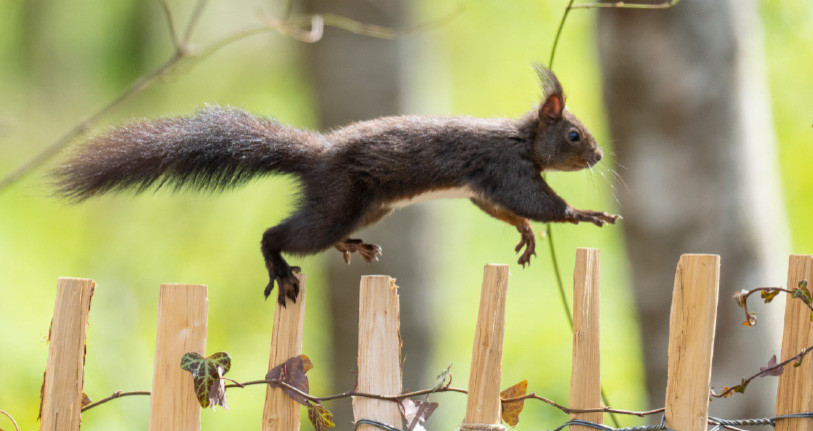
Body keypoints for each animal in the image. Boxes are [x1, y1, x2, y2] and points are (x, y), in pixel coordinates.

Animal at [54, 66, 620, 306]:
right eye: (574, 134)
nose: (598, 155)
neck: (523, 138)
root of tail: (318, 155)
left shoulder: (484, 188)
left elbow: (504, 209)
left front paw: (525, 233)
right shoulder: (506, 168)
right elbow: (537, 201)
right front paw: (583, 215)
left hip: (367, 206)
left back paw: (352, 246)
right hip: (337, 201)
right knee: (282, 235)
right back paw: (280, 267)